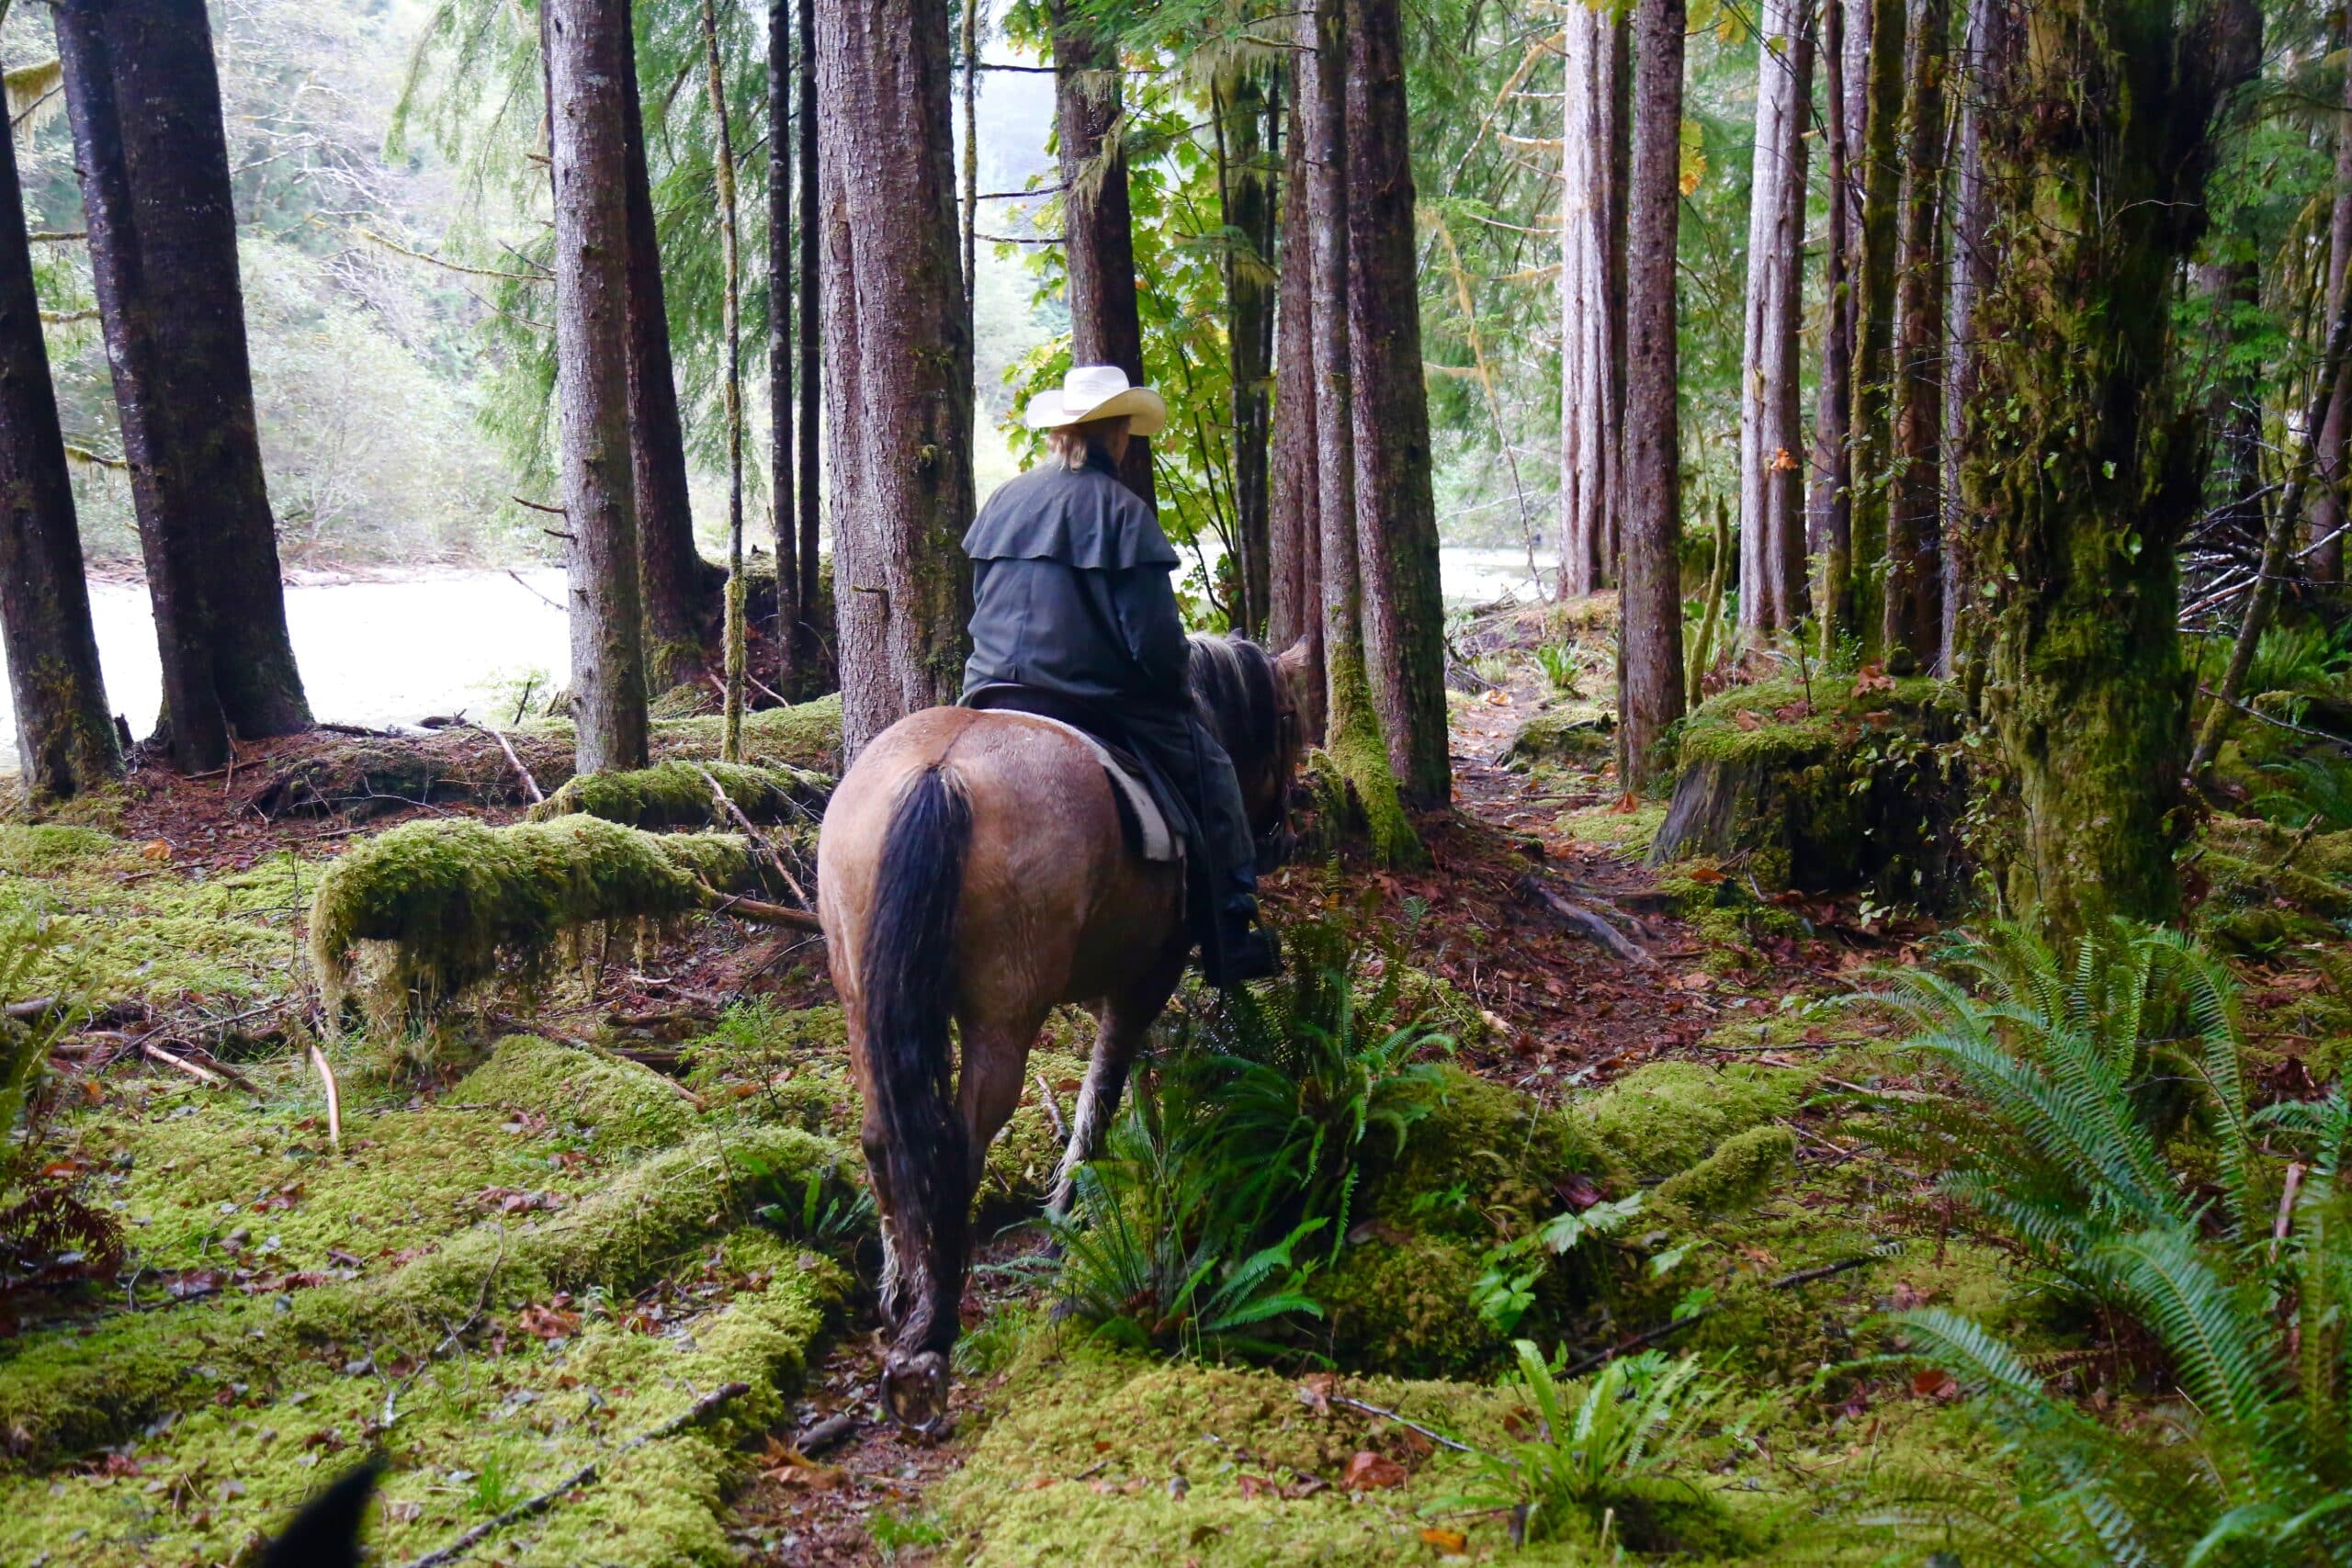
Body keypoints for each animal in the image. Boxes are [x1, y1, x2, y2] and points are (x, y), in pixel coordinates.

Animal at [823, 629, 1307, 1429]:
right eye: (1289, 725)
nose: (1284, 832)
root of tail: (940, 770)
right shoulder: (1146, 976)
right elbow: (1102, 1089)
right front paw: (1068, 1206)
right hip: (1003, 1010)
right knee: (959, 1143)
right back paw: (934, 1334)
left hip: (862, 994)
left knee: (882, 1137)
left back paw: (900, 1297)